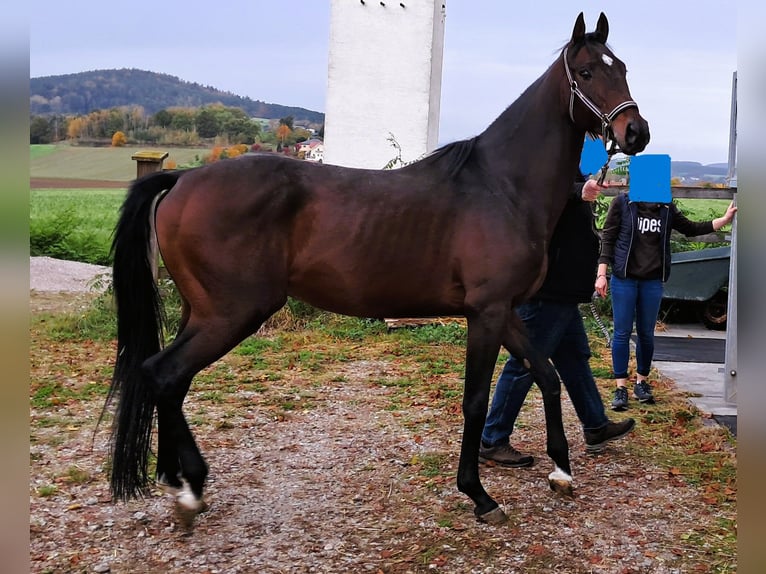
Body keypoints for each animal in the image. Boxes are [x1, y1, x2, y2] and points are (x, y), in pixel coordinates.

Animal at [105, 11, 652, 528]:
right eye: (587, 71)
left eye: (623, 68)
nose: (636, 132)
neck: (501, 186)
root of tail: (182, 179)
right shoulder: (486, 313)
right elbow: (476, 399)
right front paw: (478, 496)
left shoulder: (506, 312)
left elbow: (547, 375)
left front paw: (561, 471)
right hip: (230, 314)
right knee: (163, 374)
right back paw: (188, 490)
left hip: (202, 313)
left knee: (170, 380)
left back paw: (181, 481)